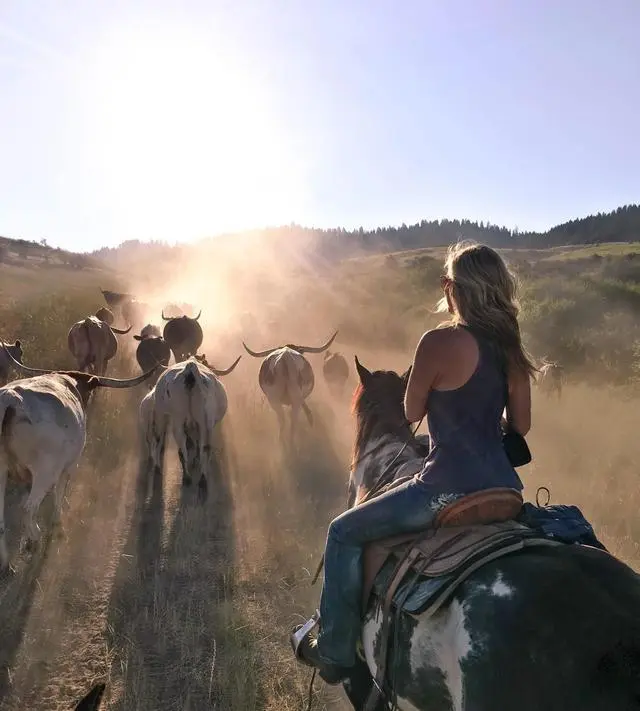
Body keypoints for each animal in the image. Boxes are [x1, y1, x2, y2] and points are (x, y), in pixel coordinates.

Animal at [139, 356, 240, 500]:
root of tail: (190, 368)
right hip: (203, 420)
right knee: (204, 447)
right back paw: (200, 479)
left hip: (177, 419)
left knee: (180, 447)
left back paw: (187, 477)